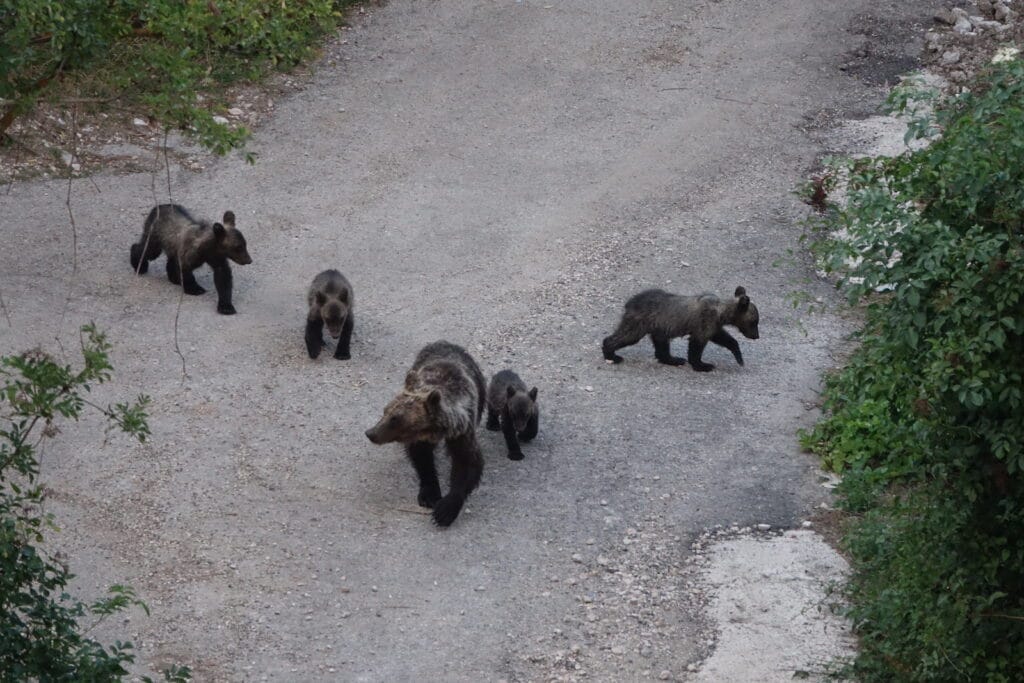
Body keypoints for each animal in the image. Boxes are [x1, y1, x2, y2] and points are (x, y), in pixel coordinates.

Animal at [364, 342, 487, 528]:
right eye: (385, 411)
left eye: (395, 419)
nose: (371, 433)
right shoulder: (419, 439)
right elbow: (422, 459)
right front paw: (429, 494)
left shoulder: (463, 430)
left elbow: (467, 462)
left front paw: (445, 509)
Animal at [598, 288, 761, 374]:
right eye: (754, 322)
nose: (757, 336)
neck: (721, 312)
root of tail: (629, 303)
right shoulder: (704, 322)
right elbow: (696, 346)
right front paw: (703, 365)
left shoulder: (713, 325)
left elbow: (725, 338)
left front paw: (739, 357)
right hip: (639, 322)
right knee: (625, 336)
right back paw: (612, 355)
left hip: (659, 326)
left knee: (661, 346)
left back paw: (674, 359)